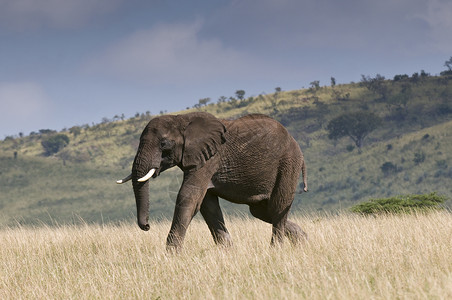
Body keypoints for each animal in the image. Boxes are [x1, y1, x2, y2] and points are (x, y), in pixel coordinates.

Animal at [116, 111, 308, 250]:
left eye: (164, 144)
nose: (147, 226)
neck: (181, 118)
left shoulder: (210, 158)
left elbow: (188, 197)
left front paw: (172, 253)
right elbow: (207, 205)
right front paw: (227, 251)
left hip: (288, 163)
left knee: (278, 206)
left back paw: (276, 250)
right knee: (261, 211)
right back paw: (302, 241)